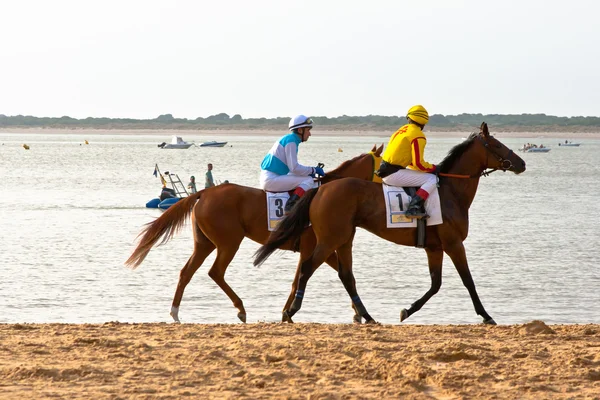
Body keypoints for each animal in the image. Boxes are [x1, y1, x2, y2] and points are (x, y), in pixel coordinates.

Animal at [125, 144, 384, 322]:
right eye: (383, 163)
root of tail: (204, 193)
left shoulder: (321, 248)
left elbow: (324, 276)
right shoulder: (316, 246)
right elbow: (304, 278)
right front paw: (288, 313)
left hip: (205, 243)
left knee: (186, 272)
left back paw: (176, 313)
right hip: (229, 242)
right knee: (215, 272)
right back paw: (240, 309)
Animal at [255, 123, 528, 326]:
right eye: (498, 145)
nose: (522, 163)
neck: (451, 191)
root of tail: (321, 188)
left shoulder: (435, 247)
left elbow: (435, 284)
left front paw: (407, 310)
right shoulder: (453, 244)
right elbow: (468, 280)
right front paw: (486, 315)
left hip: (344, 238)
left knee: (345, 275)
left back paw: (366, 316)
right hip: (330, 238)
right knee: (308, 267)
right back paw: (293, 310)